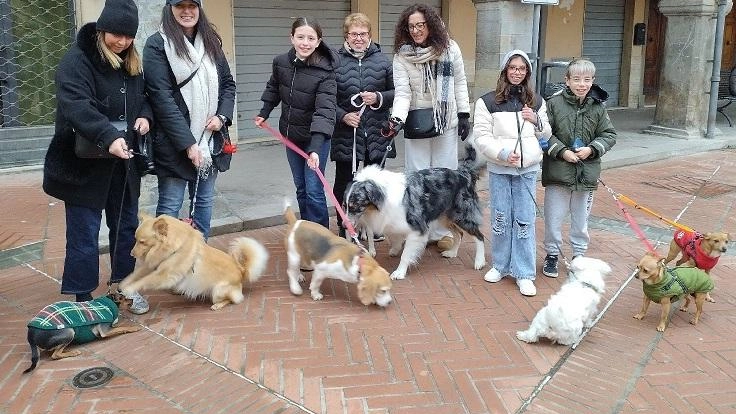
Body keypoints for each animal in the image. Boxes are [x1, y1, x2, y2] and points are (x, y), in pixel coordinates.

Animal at [118, 215, 270, 308]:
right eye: (136, 240)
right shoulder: (153, 265)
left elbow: (144, 281)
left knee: (234, 300)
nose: (131, 254)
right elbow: (134, 275)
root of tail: (241, 271)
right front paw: (122, 285)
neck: (175, 247)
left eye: (142, 242)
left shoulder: (164, 274)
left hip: (218, 291)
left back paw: (217, 305)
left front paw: (129, 289)